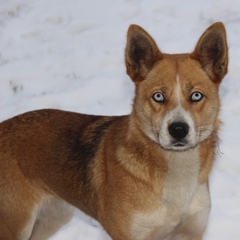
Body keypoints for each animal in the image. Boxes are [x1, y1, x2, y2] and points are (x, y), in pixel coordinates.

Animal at [0, 21, 228, 239]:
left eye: (196, 96)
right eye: (158, 96)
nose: (178, 130)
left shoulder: (191, 233)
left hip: (52, 217)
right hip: (16, 225)